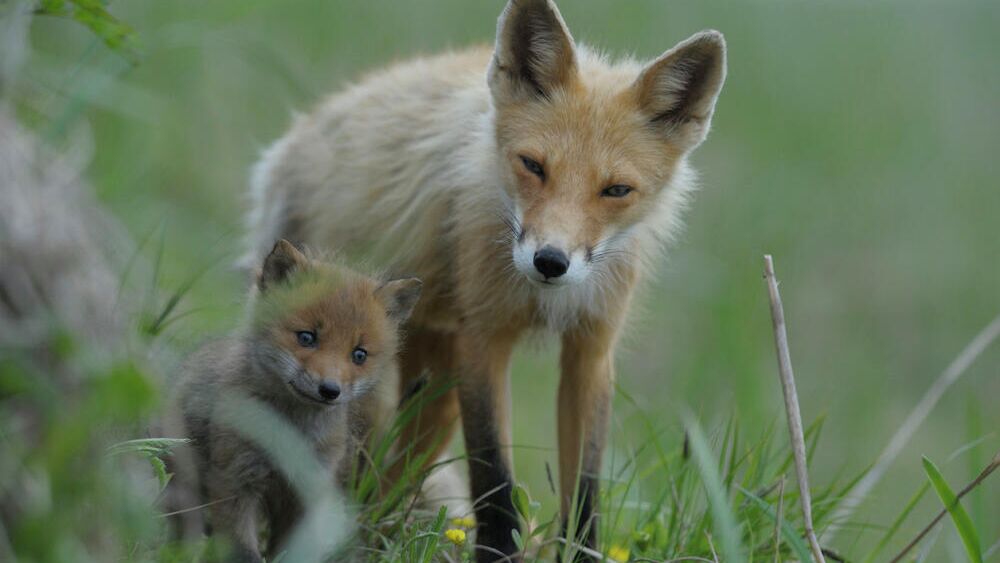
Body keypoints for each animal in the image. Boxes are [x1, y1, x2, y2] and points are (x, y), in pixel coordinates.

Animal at [245, 0, 724, 560]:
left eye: (616, 190)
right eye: (533, 166)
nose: (550, 261)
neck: (541, 299)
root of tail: (297, 135)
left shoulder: (590, 348)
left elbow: (585, 488)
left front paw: (579, 550)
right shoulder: (482, 338)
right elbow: (493, 474)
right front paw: (497, 551)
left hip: (433, 392)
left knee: (392, 478)